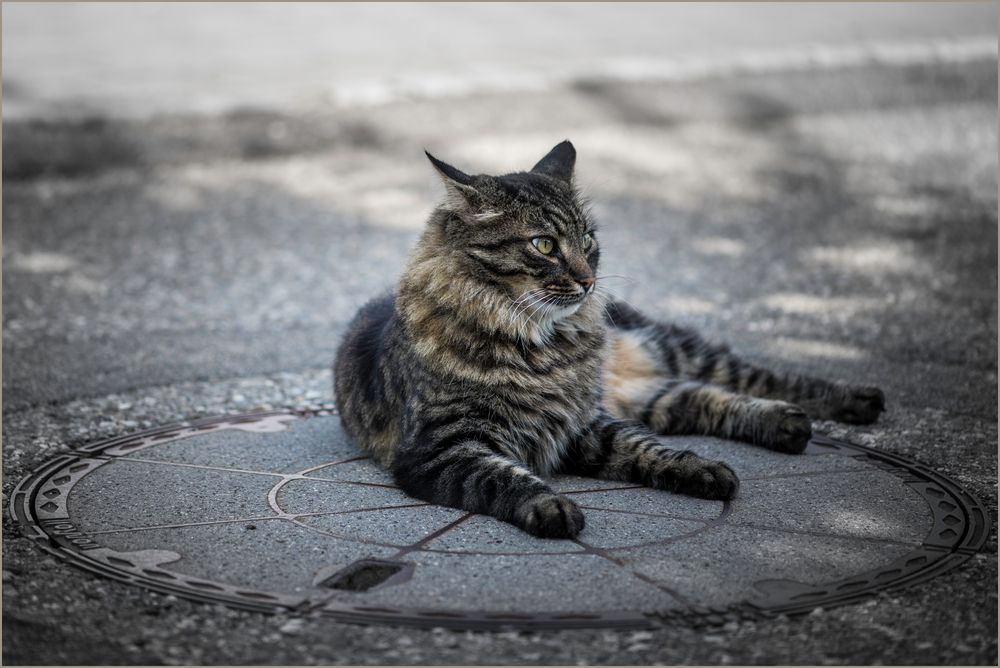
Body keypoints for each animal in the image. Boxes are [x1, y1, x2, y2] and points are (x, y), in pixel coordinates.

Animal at [334, 141, 884, 536]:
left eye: (588, 240)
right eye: (544, 245)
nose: (588, 281)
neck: (543, 348)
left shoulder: (585, 422)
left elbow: (649, 451)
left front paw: (702, 468)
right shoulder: (443, 448)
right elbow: (505, 477)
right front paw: (552, 507)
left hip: (665, 346)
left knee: (753, 376)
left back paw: (849, 401)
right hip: (653, 397)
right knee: (706, 398)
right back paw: (785, 425)